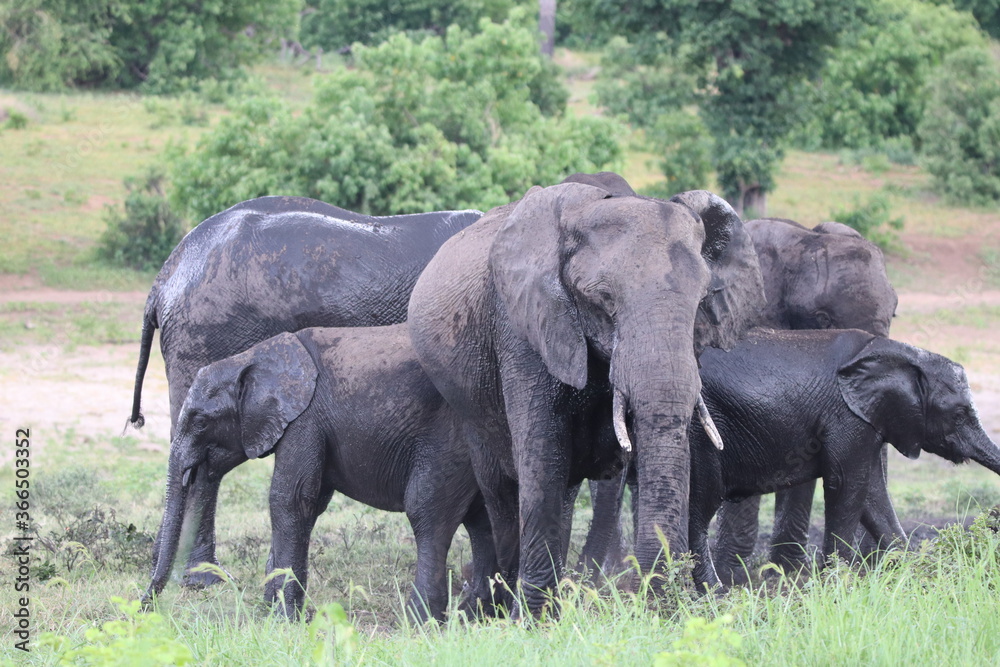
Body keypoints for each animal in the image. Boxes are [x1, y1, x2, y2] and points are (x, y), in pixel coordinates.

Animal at [406, 181, 764, 616]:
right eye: (604, 298)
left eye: (700, 302)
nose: (653, 604)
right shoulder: (523, 323)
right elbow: (541, 456)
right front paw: (535, 618)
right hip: (465, 400)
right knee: (500, 486)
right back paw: (496, 603)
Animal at [688, 330, 1000, 588]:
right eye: (959, 415)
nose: (992, 518)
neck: (904, 354)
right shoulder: (846, 418)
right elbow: (847, 486)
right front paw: (835, 585)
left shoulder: (868, 421)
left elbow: (873, 494)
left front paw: (917, 575)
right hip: (701, 432)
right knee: (700, 508)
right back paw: (714, 593)